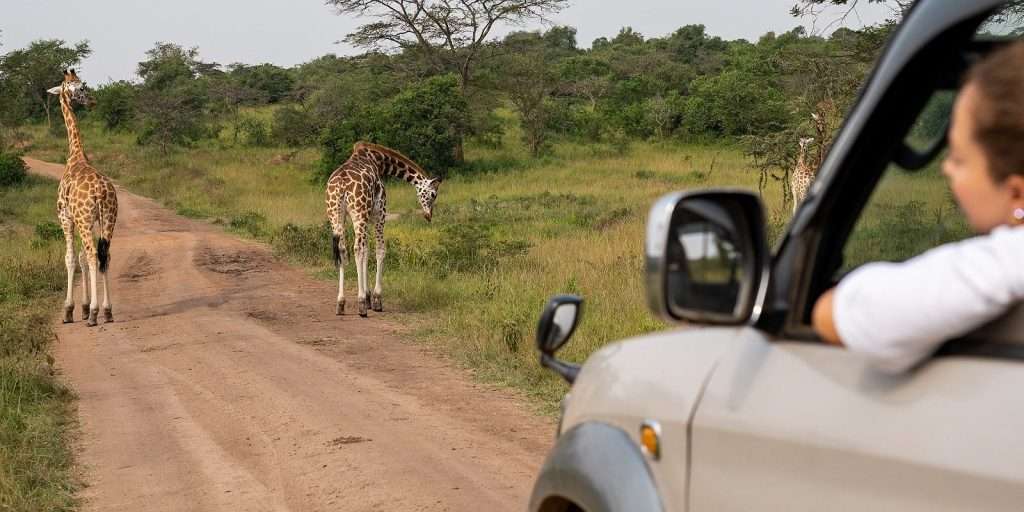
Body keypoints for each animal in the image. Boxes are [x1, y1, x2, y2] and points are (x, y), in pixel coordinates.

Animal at [48, 69, 117, 323]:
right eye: (79, 87)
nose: (92, 101)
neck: (75, 155)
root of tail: (101, 192)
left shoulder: (66, 217)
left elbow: (70, 258)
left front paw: (70, 309)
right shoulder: (86, 220)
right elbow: (81, 259)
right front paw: (84, 306)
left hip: (85, 220)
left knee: (92, 254)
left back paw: (95, 315)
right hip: (108, 218)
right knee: (105, 255)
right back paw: (106, 311)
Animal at [327, 140, 440, 315]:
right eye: (433, 194)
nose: (428, 216)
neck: (379, 161)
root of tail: (341, 186)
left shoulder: (365, 217)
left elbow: (367, 252)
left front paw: (368, 297)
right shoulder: (379, 213)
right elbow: (380, 250)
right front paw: (375, 299)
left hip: (336, 216)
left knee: (342, 250)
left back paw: (341, 303)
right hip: (359, 214)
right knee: (357, 249)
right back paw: (361, 304)